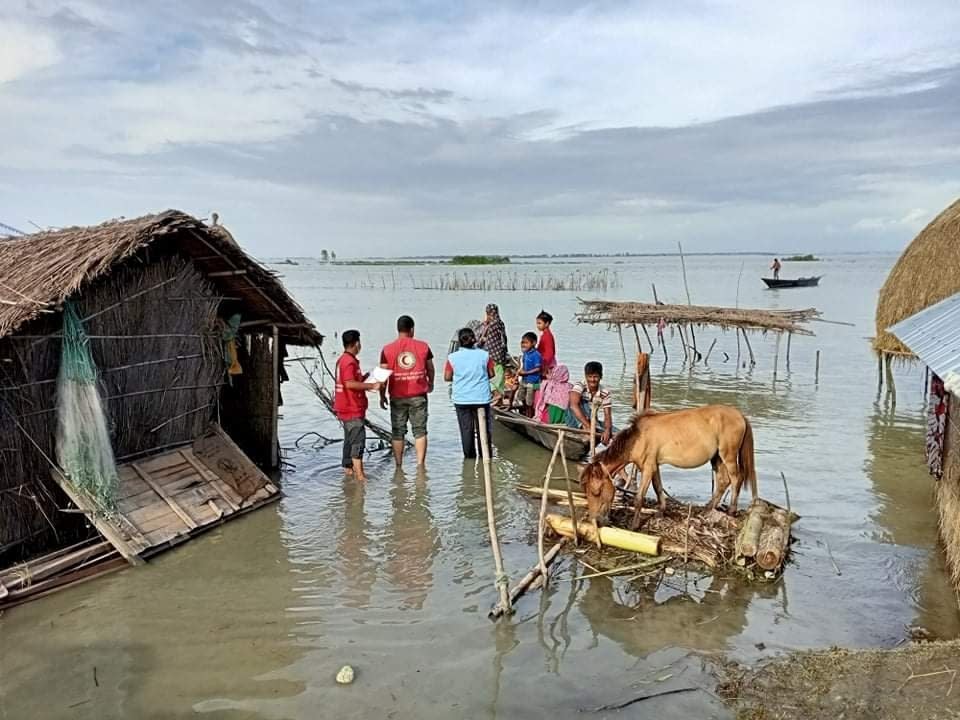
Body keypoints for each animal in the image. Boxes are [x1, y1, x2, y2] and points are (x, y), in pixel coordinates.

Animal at [576, 404, 756, 524]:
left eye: (596, 491)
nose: (595, 520)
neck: (637, 438)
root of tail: (740, 415)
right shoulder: (654, 466)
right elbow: (658, 488)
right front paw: (661, 511)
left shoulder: (648, 467)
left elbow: (639, 498)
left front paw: (634, 525)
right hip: (717, 457)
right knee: (723, 480)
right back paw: (708, 508)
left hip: (728, 454)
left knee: (736, 478)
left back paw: (731, 510)